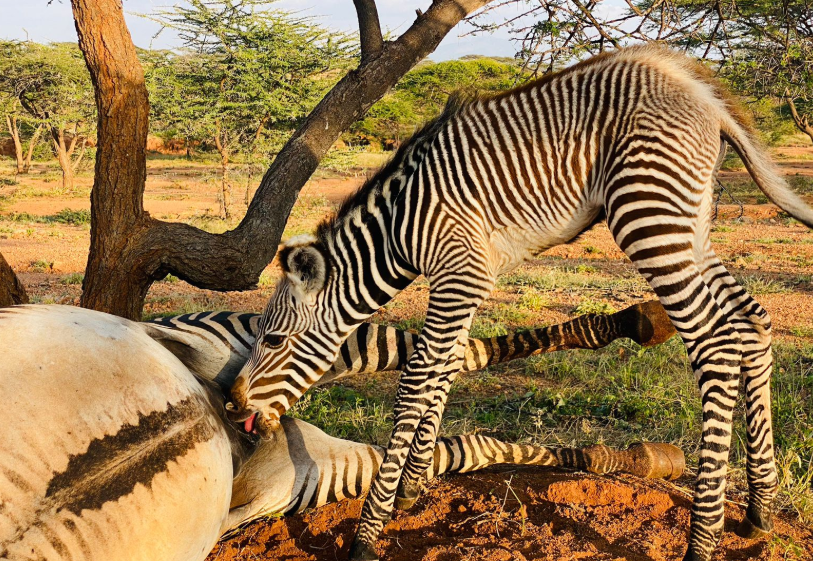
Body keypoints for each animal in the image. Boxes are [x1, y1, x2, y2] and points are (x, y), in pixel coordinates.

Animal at [0, 304, 682, 561]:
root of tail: (230, 413)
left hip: (238, 347)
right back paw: (641, 455)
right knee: (447, 438)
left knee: (426, 352)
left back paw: (636, 327)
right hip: (295, 472)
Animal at [226, 46, 813, 561]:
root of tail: (696, 88)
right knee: (752, 323)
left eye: (272, 338)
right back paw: (758, 508)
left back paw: (703, 538)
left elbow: (415, 384)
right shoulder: (468, 280)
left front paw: (370, 529)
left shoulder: (458, 272)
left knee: (716, 344)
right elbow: (445, 368)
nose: (231, 405)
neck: (397, 230)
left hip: (648, 214)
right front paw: (413, 487)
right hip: (691, 228)